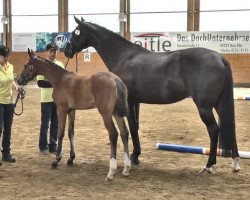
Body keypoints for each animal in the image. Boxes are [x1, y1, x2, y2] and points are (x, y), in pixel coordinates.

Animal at [17, 48, 131, 180]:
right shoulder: (72, 110)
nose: (19, 80)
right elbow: (70, 132)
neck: (60, 79)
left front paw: (56, 161)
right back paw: (126, 168)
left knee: (113, 134)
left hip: (106, 114)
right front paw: (71, 159)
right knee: (124, 133)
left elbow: (60, 133)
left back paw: (111, 171)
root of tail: (115, 79)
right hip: (117, 113)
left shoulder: (61, 109)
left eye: (26, 65)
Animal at [65, 16, 240, 173]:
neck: (124, 56)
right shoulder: (136, 102)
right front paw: (136, 156)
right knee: (230, 127)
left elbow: (132, 127)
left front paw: (134, 157)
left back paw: (209, 165)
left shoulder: (129, 101)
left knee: (214, 130)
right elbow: (136, 126)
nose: (66, 50)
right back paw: (235, 162)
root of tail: (220, 58)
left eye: (75, 32)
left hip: (204, 107)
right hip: (218, 104)